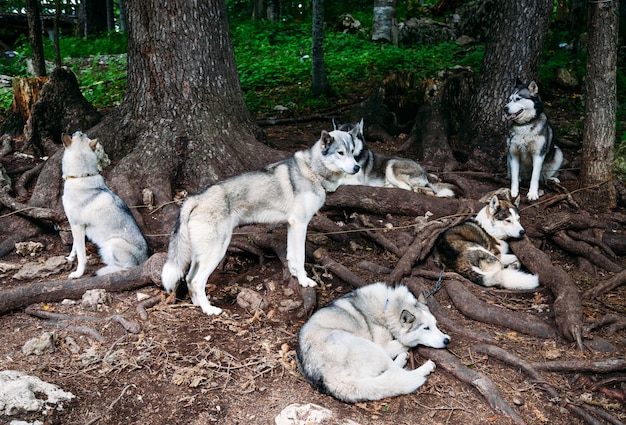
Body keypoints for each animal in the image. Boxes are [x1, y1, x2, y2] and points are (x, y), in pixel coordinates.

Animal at [61, 132, 149, 278]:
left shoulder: (77, 225)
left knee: (125, 268)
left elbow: (81, 256)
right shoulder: (75, 226)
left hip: (112, 243)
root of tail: (144, 260)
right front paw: (70, 258)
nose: (78, 131)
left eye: (78, 135)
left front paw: (78, 273)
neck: (82, 176)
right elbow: (75, 247)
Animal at [161, 126, 358, 314]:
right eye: (340, 153)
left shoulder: (292, 226)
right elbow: (300, 257)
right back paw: (209, 310)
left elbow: (292, 257)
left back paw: (198, 305)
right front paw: (304, 281)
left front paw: (295, 275)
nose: (357, 168)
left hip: (202, 254)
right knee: (196, 281)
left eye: (353, 151)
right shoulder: (301, 225)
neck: (312, 170)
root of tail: (195, 197)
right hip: (217, 251)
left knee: (189, 278)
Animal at [298, 282, 448, 400]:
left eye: (435, 324)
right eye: (426, 328)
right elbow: (407, 342)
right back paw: (424, 366)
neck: (386, 306)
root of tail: (330, 380)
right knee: (397, 372)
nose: (447, 340)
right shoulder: (385, 345)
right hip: (372, 347)